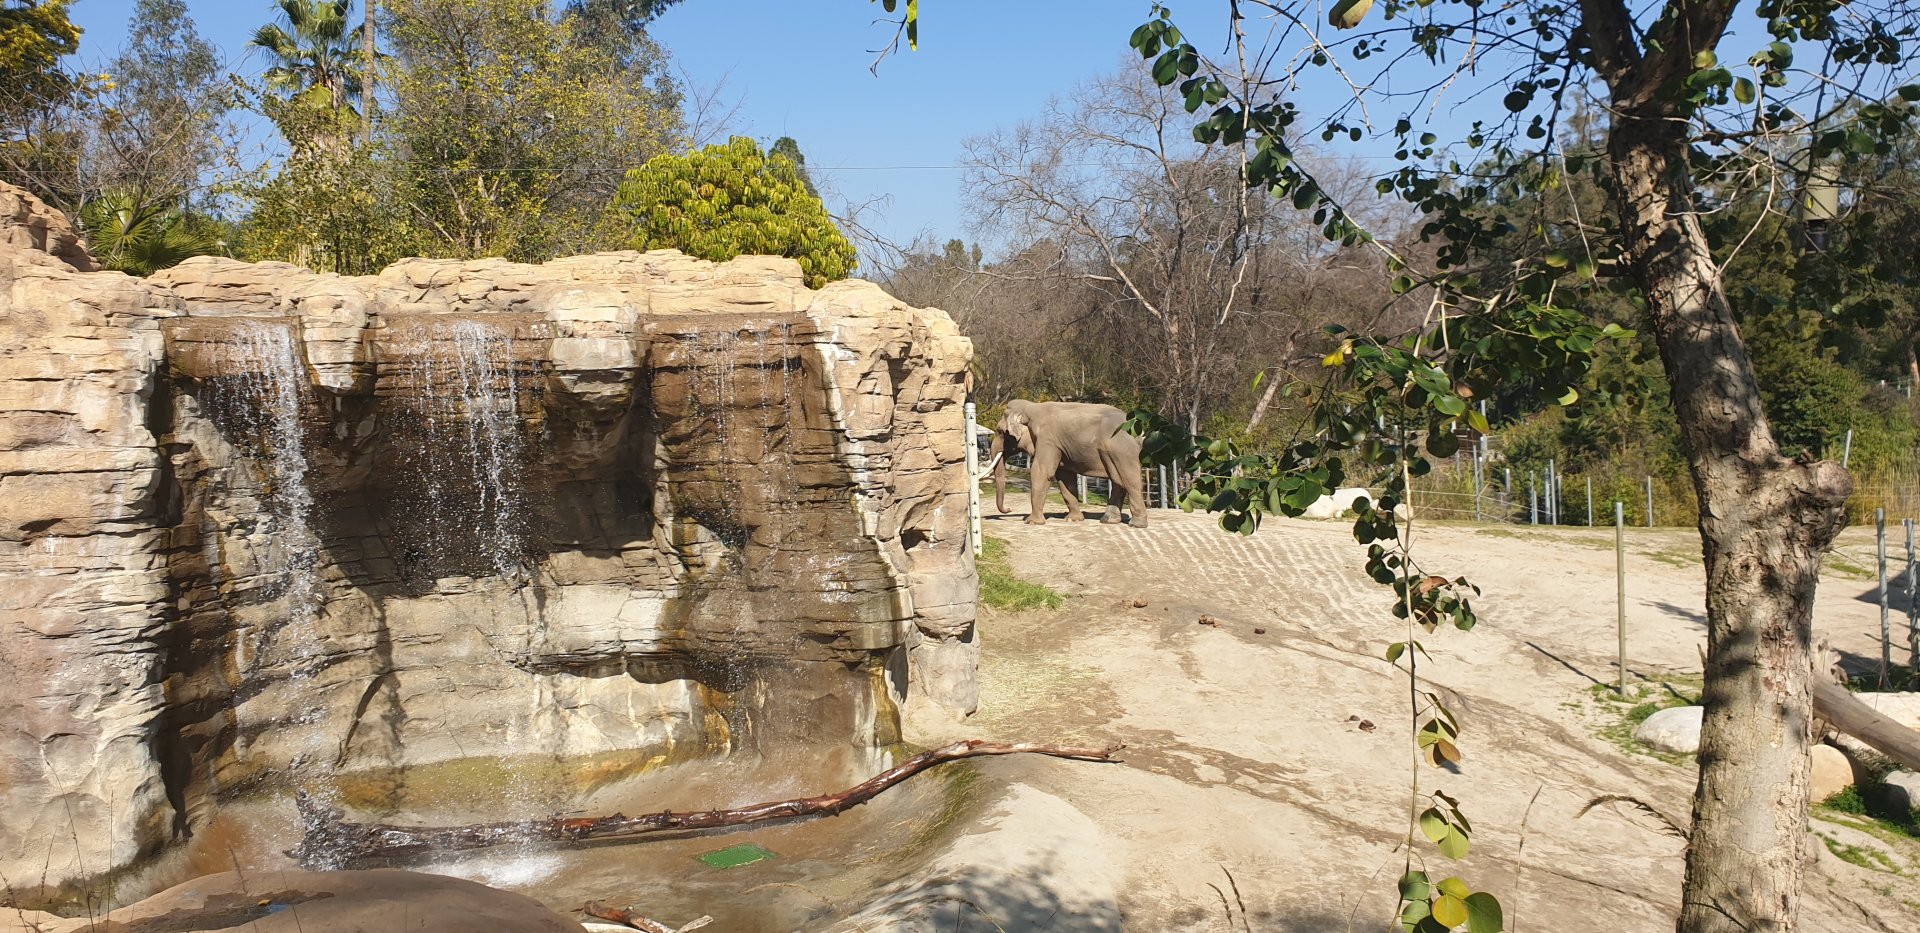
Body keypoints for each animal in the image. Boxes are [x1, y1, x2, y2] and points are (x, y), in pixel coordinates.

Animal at [989, 400, 1148, 528]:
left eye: (1000, 432)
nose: (1009, 509)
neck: (1031, 407)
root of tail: (1140, 432)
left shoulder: (1047, 439)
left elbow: (1041, 472)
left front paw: (1031, 522)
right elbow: (1066, 478)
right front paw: (1073, 520)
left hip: (1122, 451)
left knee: (1130, 481)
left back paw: (1136, 524)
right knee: (1117, 481)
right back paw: (1108, 520)